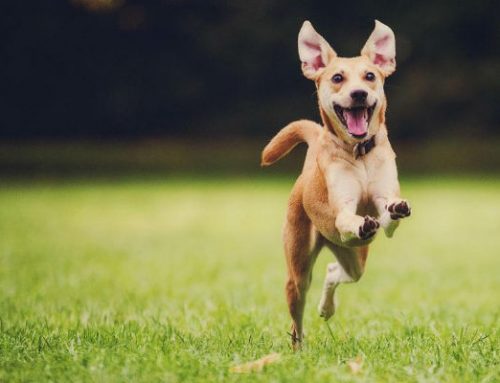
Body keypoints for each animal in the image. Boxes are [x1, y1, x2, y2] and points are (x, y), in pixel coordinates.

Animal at [262, 21, 410, 350]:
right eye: (337, 78)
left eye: (370, 76)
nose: (359, 94)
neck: (360, 154)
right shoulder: (342, 210)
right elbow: (346, 217)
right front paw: (360, 222)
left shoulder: (384, 202)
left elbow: (389, 216)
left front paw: (393, 210)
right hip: (298, 266)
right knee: (297, 317)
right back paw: (298, 350)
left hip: (354, 257)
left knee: (336, 272)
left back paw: (326, 308)